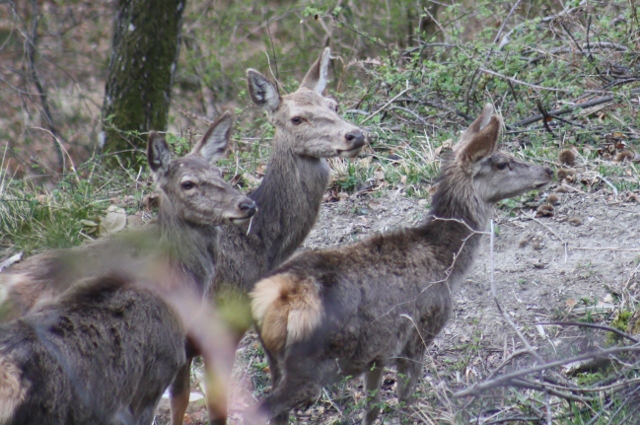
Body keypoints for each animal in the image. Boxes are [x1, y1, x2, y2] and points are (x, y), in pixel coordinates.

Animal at [250, 103, 556, 424]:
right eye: (502, 163)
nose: (548, 169)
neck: (445, 263)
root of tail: (270, 299)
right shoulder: (420, 332)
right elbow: (405, 401)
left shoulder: (376, 355)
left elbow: (372, 408)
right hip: (310, 364)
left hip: (276, 361)